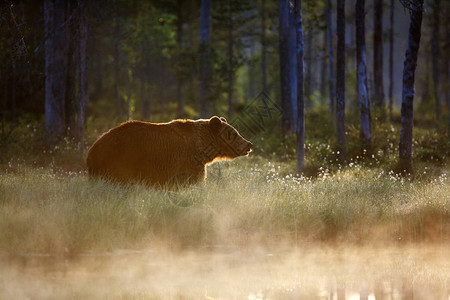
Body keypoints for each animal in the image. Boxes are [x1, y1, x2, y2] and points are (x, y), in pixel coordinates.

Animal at [85, 116, 253, 186]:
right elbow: (192, 181)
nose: (249, 144)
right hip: (119, 160)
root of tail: (92, 148)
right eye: (234, 133)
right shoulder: (188, 162)